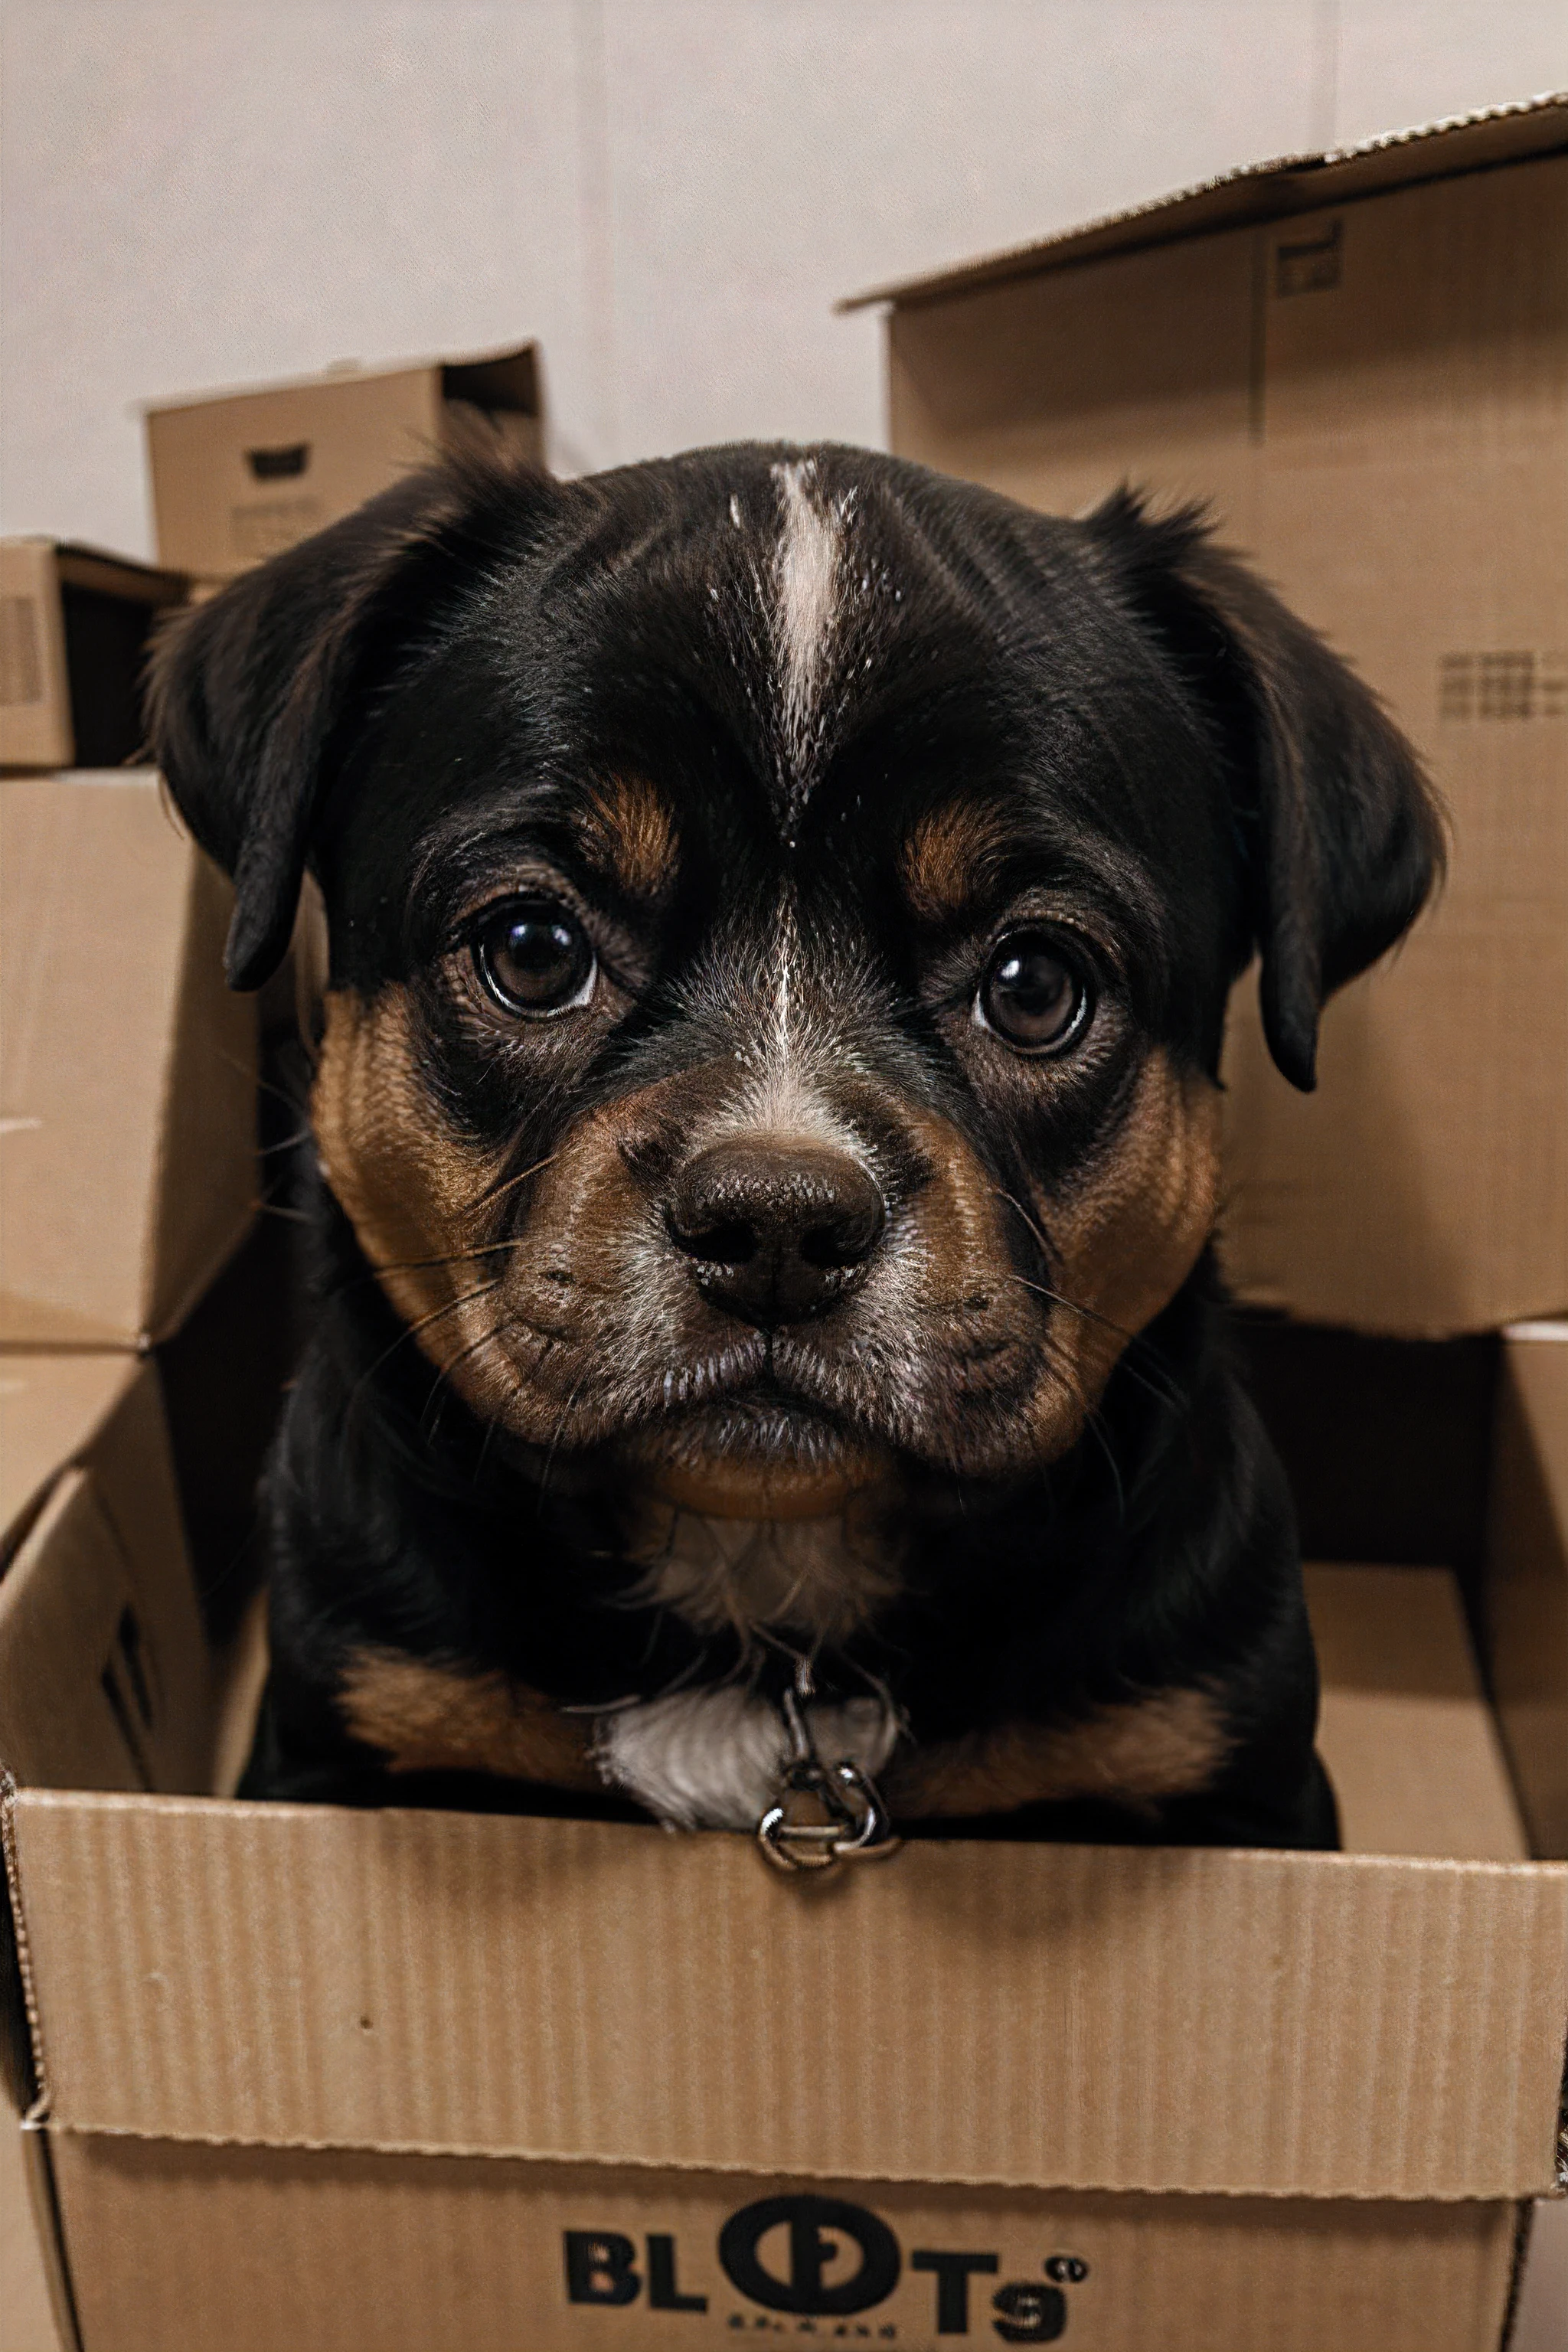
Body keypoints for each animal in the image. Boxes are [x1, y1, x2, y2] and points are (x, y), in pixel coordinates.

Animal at [152, 442, 1439, 1853]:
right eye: (531, 948)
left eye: (1036, 984)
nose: (774, 1221)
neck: (762, 1585)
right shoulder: (345, 1723)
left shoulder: (1226, 1762)